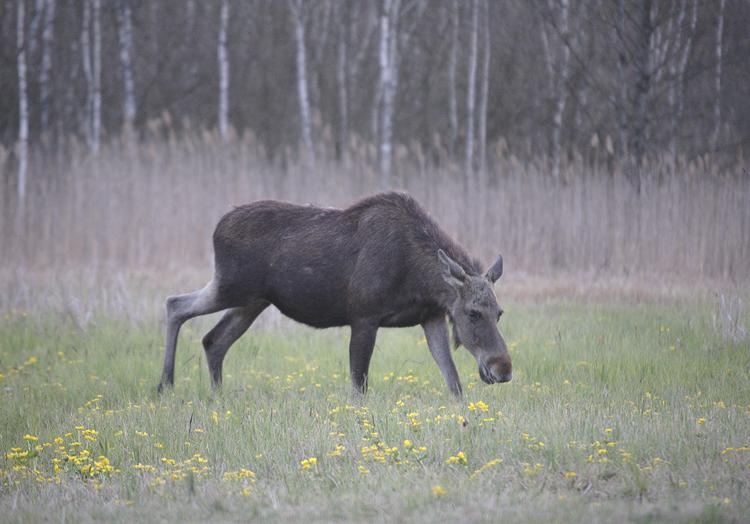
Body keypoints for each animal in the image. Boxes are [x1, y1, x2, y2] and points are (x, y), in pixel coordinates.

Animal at [158, 192, 512, 398]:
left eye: (499, 312)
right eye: (473, 312)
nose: (503, 369)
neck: (421, 281)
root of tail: (217, 227)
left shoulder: (432, 316)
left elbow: (453, 381)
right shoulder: (365, 316)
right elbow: (359, 386)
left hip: (252, 301)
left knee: (213, 339)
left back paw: (217, 395)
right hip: (231, 285)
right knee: (175, 304)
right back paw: (165, 384)